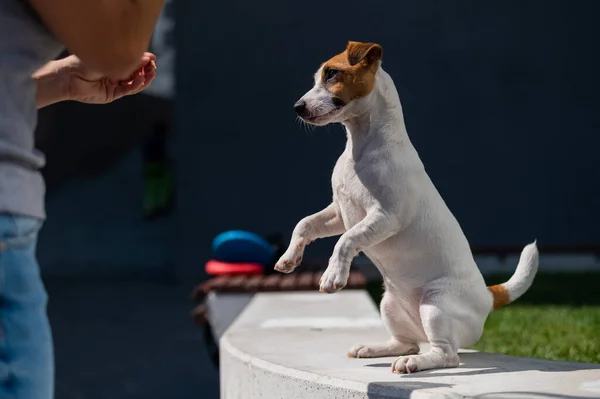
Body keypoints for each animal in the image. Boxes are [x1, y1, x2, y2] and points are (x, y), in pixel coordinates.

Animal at [274, 41, 540, 376]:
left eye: (332, 74)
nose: (297, 107)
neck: (361, 145)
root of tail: (488, 296)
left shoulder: (386, 217)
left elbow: (345, 241)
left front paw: (333, 275)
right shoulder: (339, 212)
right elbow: (305, 223)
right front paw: (288, 258)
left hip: (436, 306)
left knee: (446, 354)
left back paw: (414, 363)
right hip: (390, 306)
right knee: (408, 342)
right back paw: (374, 348)